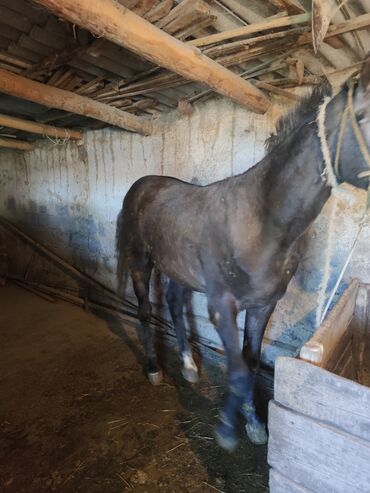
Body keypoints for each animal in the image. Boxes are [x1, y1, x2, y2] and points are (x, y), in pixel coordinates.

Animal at [117, 54, 370, 450]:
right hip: (141, 263)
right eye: (366, 115)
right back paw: (155, 369)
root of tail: (142, 186)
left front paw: (254, 424)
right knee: (144, 311)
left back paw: (188, 365)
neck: (261, 222)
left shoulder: (263, 305)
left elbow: (250, 364)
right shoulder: (222, 306)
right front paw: (225, 429)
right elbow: (236, 371)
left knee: (174, 306)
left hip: (176, 269)